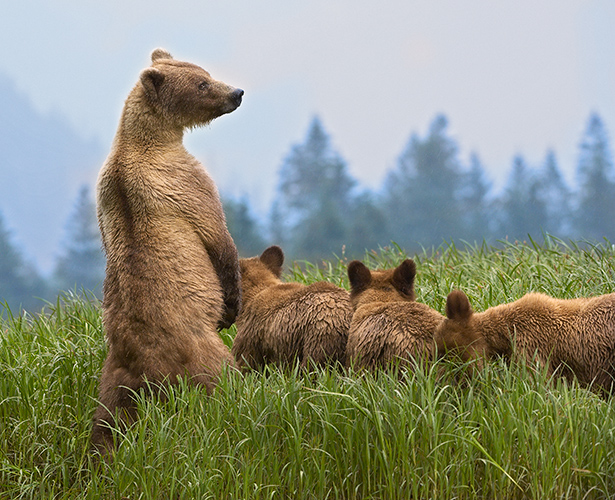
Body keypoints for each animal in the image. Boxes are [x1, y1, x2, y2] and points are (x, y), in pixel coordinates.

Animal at [92, 47, 244, 454]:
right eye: (202, 83)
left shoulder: (105, 196)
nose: (236, 92)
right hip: (202, 354)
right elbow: (217, 235)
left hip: (113, 381)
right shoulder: (183, 181)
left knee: (106, 425)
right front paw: (232, 305)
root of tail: (148, 373)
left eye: (204, 72)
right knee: (225, 381)